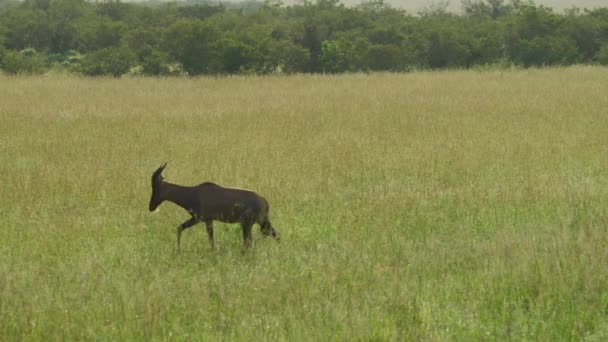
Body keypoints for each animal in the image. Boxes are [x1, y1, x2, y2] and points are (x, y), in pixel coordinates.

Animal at [148, 163, 280, 251]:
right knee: (273, 235)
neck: (193, 192)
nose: (151, 207)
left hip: (248, 224)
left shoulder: (200, 219)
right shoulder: (205, 220)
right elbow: (181, 228)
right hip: (261, 223)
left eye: (155, 187)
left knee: (249, 242)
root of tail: (265, 202)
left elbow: (208, 239)